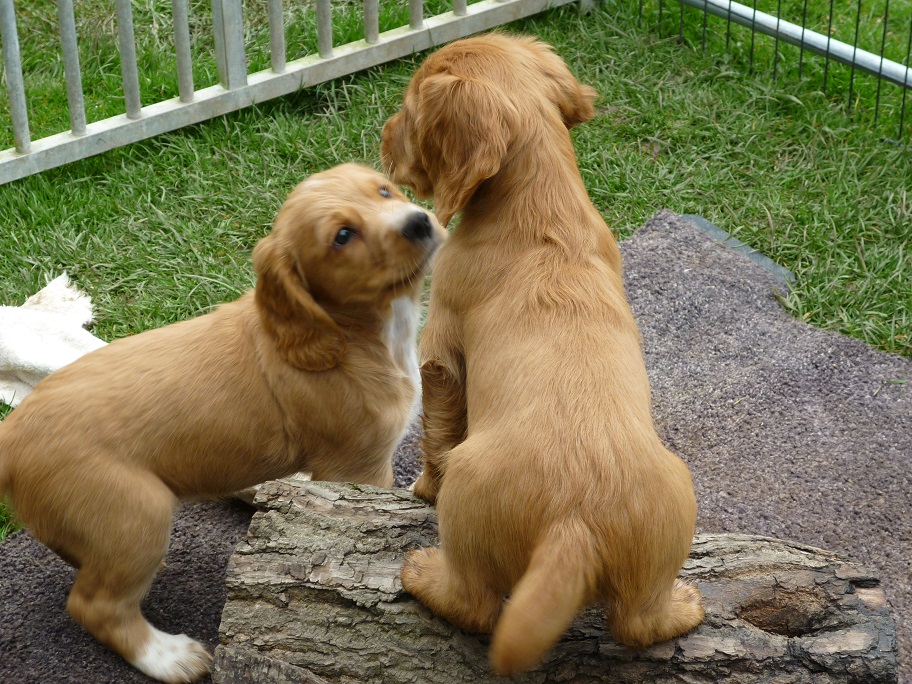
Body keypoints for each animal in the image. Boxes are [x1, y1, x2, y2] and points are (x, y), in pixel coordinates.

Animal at [0, 164, 446, 684]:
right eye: (342, 236)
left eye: (384, 191)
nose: (418, 221)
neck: (345, 331)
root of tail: (11, 434)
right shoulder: (359, 466)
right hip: (136, 510)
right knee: (94, 605)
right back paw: (169, 656)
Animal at [382, 33, 700, 672]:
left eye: (407, 109)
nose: (381, 134)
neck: (542, 203)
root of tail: (573, 522)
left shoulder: (441, 348)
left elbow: (436, 432)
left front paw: (420, 488)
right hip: (669, 518)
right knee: (638, 623)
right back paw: (686, 606)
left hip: (469, 511)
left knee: (476, 605)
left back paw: (423, 573)